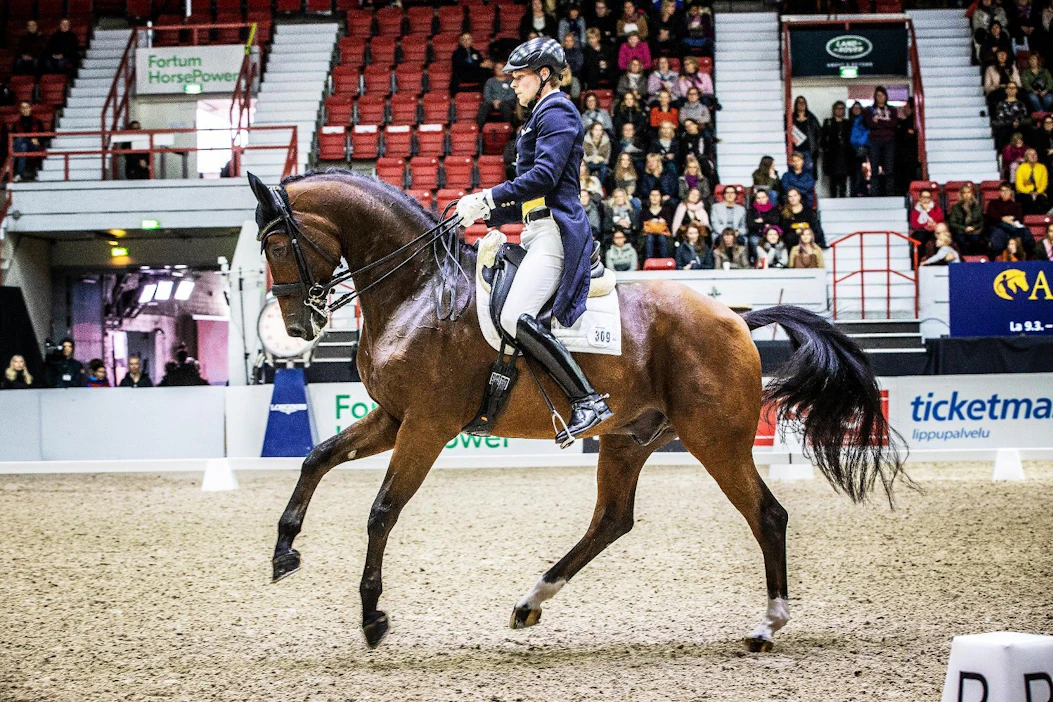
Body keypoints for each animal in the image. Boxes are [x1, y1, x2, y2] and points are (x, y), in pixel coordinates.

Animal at [247, 169, 907, 653]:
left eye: (278, 245)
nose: (298, 327)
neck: (418, 290)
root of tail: (736, 319)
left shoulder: (427, 425)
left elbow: (382, 511)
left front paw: (372, 616)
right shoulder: (392, 416)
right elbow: (316, 457)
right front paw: (284, 551)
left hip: (714, 439)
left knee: (767, 515)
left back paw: (768, 626)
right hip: (629, 438)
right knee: (612, 520)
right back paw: (530, 601)